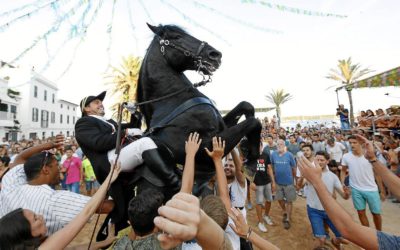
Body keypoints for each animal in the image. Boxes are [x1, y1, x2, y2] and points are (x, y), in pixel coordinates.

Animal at [138, 23, 262, 192]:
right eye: (177, 37)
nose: (215, 55)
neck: (171, 102)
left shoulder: (222, 127)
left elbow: (247, 106)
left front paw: (248, 150)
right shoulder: (206, 149)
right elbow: (254, 122)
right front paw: (251, 164)